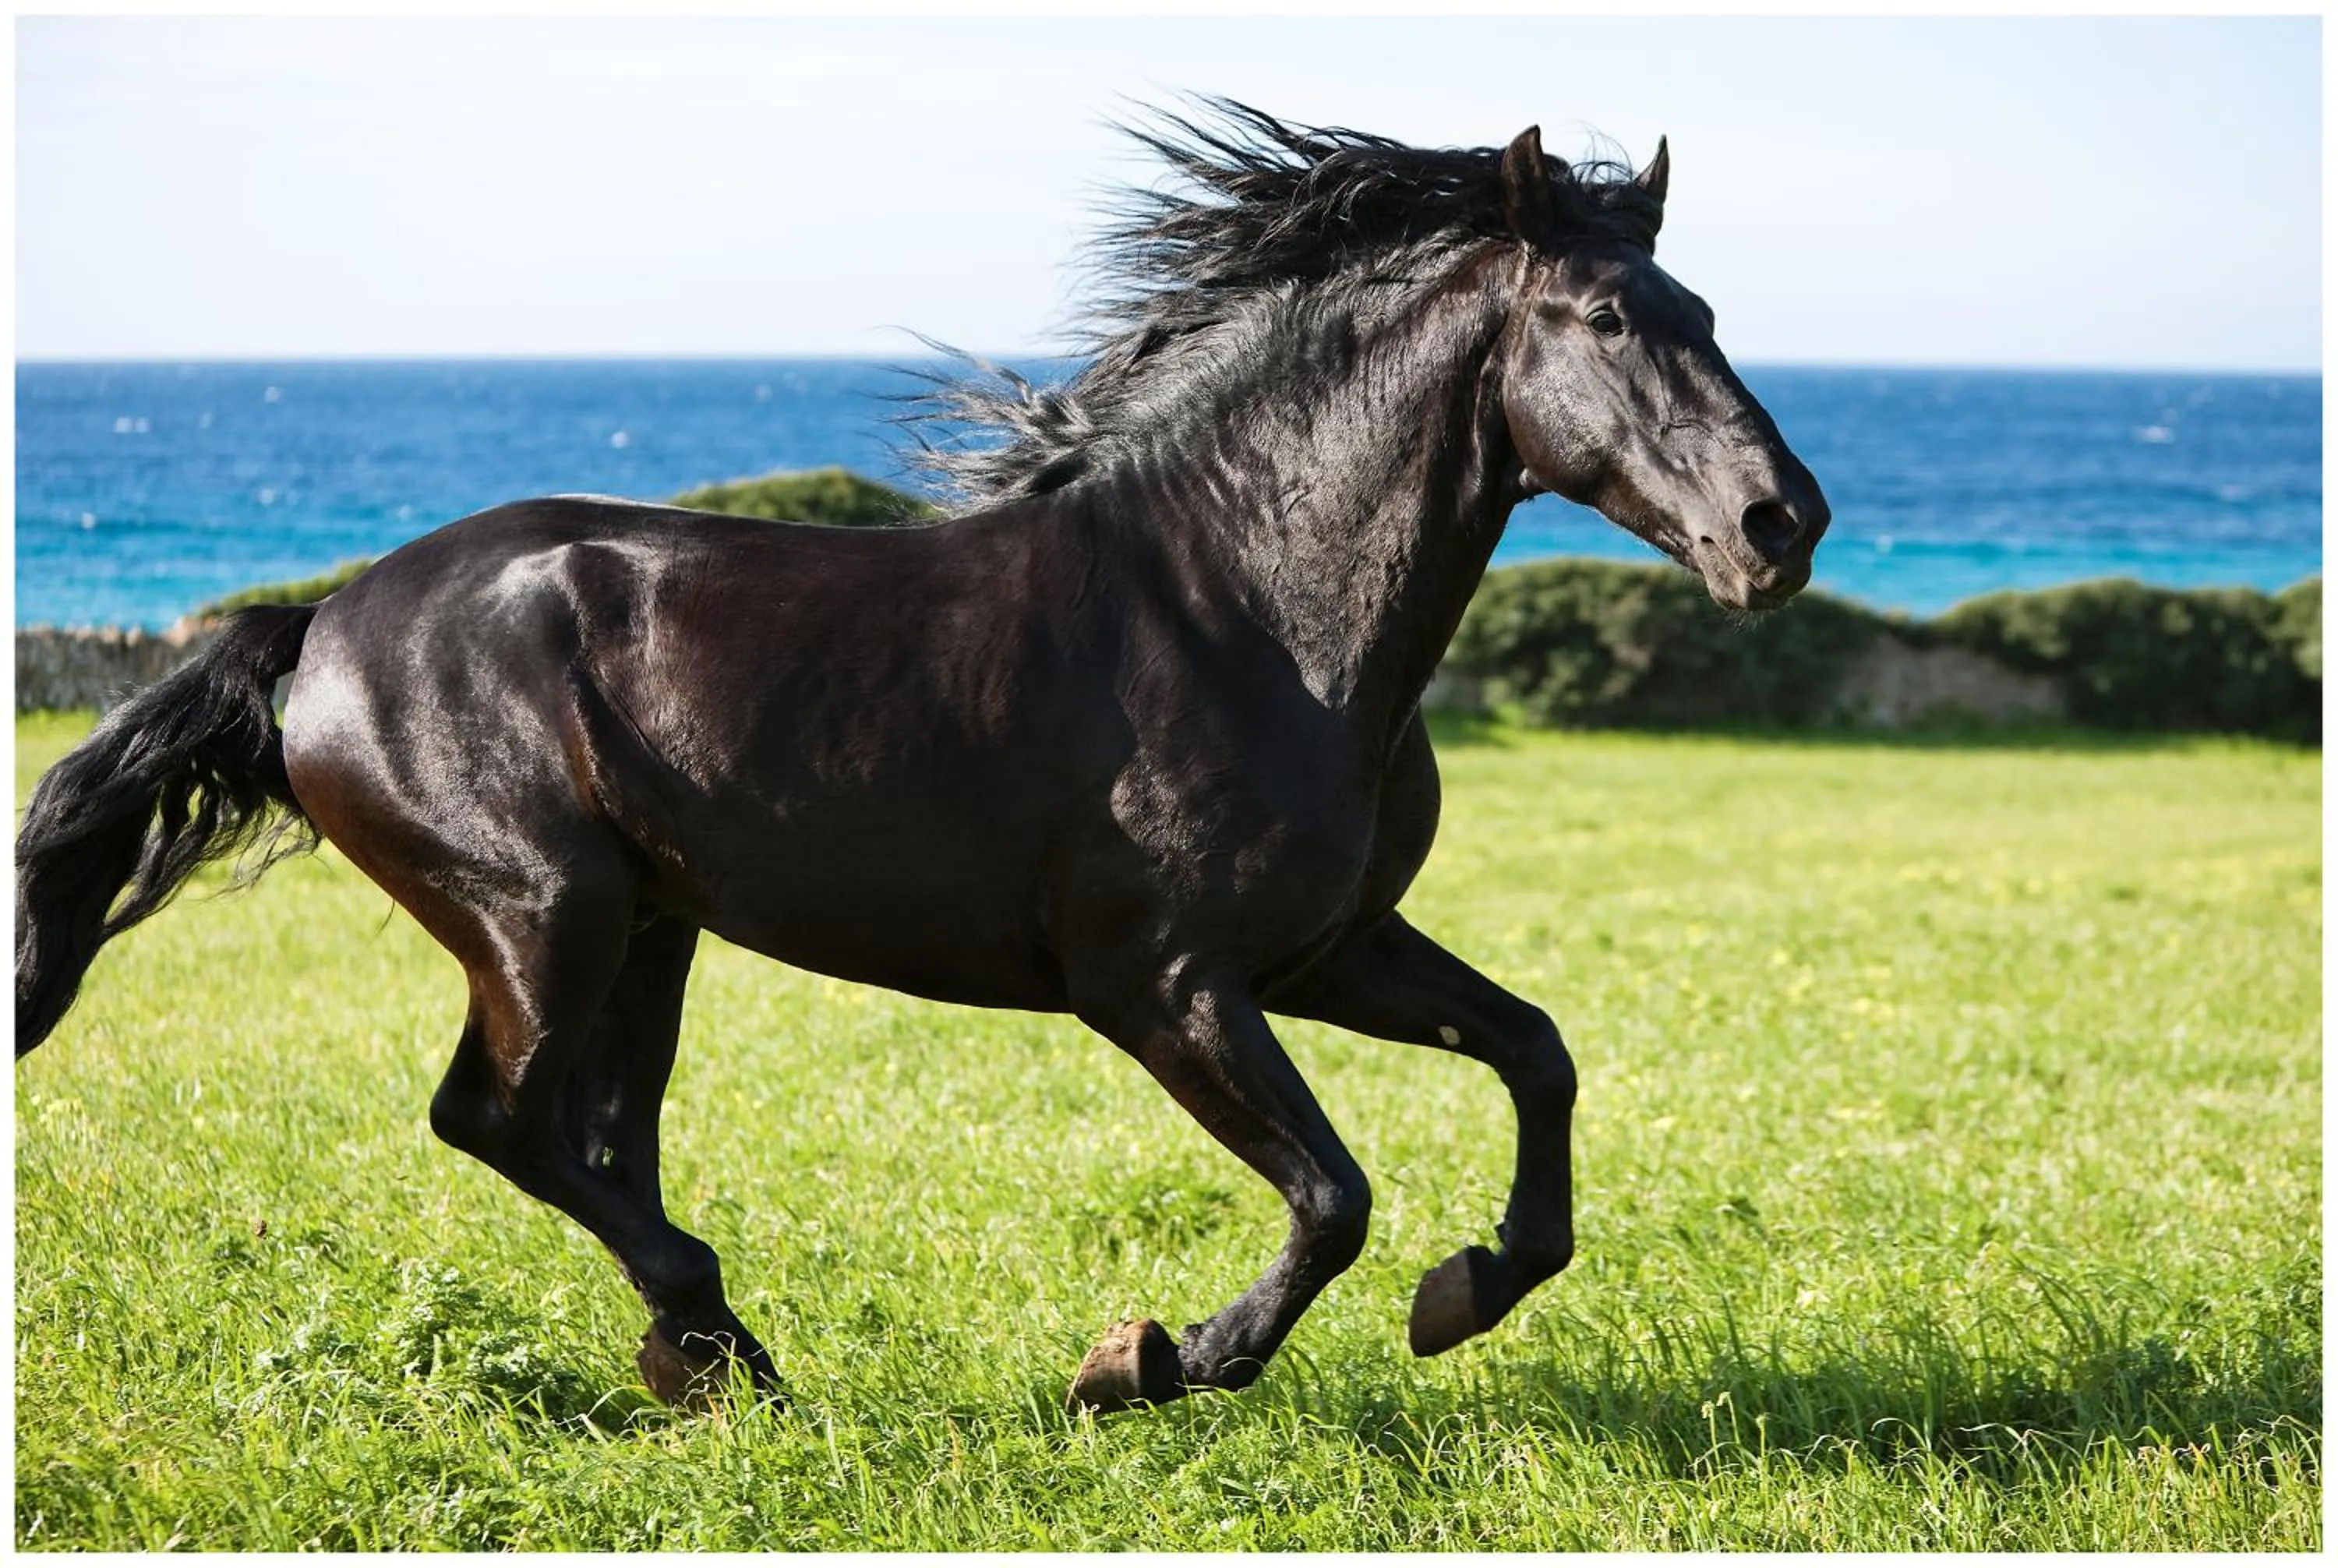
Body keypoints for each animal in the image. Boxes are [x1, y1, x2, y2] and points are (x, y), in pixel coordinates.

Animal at [15, 101, 1828, 1414]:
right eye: (1605, 316)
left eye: (1705, 310)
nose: (1780, 525)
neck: (1251, 608)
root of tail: (324, 622)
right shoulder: (1162, 982)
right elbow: (1335, 1195)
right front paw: (1148, 1364)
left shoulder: (1326, 948)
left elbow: (1537, 1054)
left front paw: (1468, 1290)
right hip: (541, 916)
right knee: (502, 1120)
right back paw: (727, 1343)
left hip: (651, 933)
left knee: (599, 1136)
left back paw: (705, 1359)